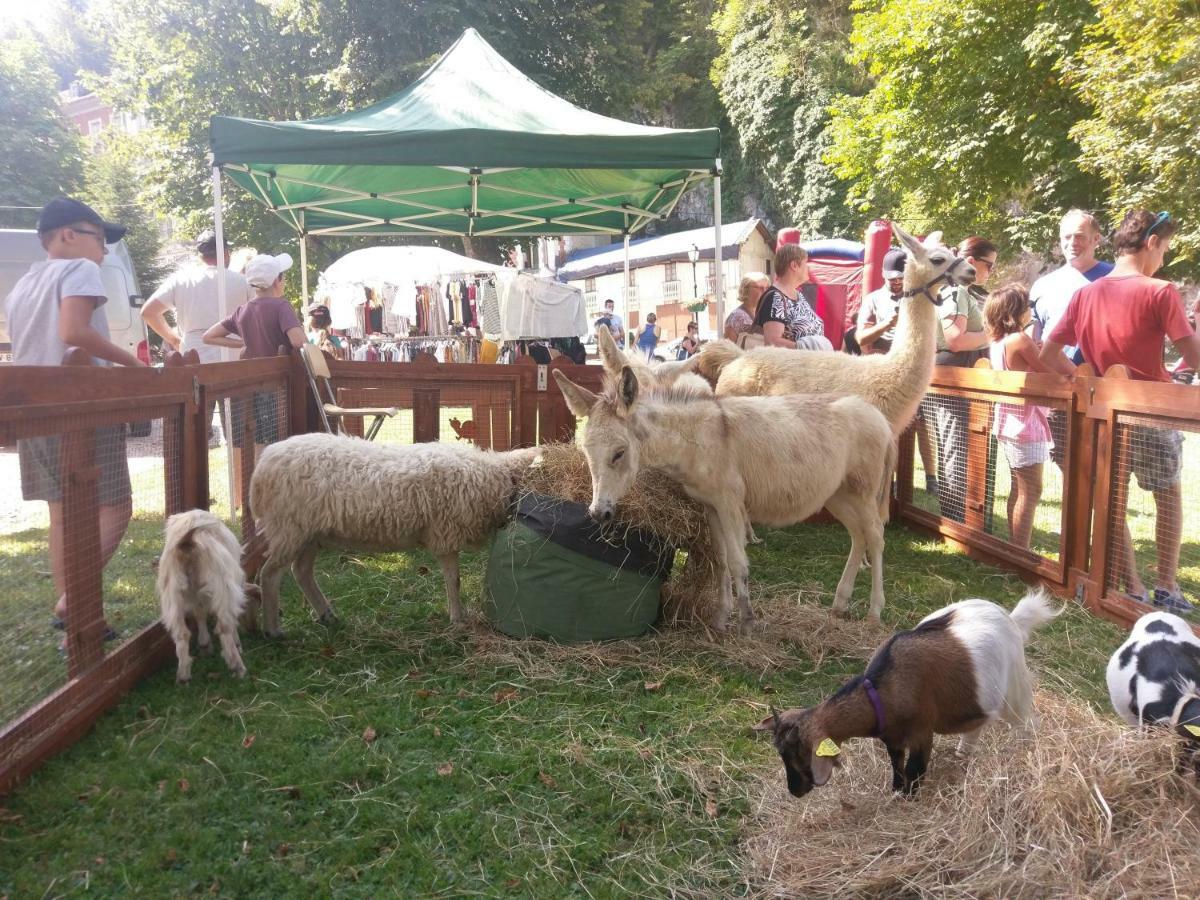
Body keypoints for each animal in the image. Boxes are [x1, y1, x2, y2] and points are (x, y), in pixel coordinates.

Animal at [157, 508, 250, 681]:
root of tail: (187, 540)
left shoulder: (195, 595)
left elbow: (199, 614)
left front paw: (205, 645)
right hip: (223, 589)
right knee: (224, 627)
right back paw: (237, 667)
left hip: (173, 595)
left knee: (182, 633)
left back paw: (183, 676)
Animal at [253, 434, 540, 638]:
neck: (493, 473)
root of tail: (264, 463)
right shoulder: (445, 533)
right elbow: (454, 580)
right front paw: (457, 619)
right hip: (289, 528)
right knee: (269, 574)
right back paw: (272, 629)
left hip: (310, 533)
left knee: (301, 572)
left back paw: (327, 615)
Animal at [758, 592, 1060, 796]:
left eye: (799, 756)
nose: (795, 791)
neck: (885, 687)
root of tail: (1010, 617)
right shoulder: (892, 737)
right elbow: (897, 764)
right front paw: (895, 789)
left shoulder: (921, 732)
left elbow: (915, 770)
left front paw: (908, 797)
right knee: (977, 725)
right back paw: (963, 755)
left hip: (1016, 690)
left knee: (1028, 724)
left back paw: (1025, 754)